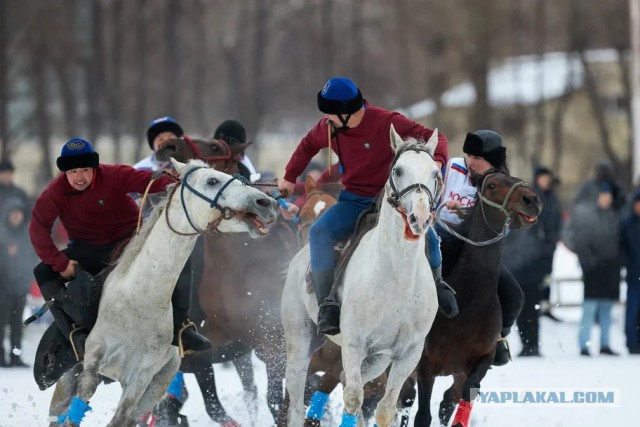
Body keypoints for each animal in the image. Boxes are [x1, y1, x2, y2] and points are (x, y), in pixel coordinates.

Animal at [59, 159, 278, 426]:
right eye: (212, 180)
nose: (266, 202)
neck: (140, 299)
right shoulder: (94, 356)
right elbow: (82, 398)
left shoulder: (142, 376)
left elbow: (122, 417)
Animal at [282, 126, 442, 427]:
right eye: (398, 170)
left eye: (435, 172)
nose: (420, 217)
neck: (397, 278)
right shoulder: (354, 345)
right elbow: (354, 398)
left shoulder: (407, 354)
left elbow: (385, 409)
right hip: (300, 340)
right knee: (297, 403)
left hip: (377, 358)